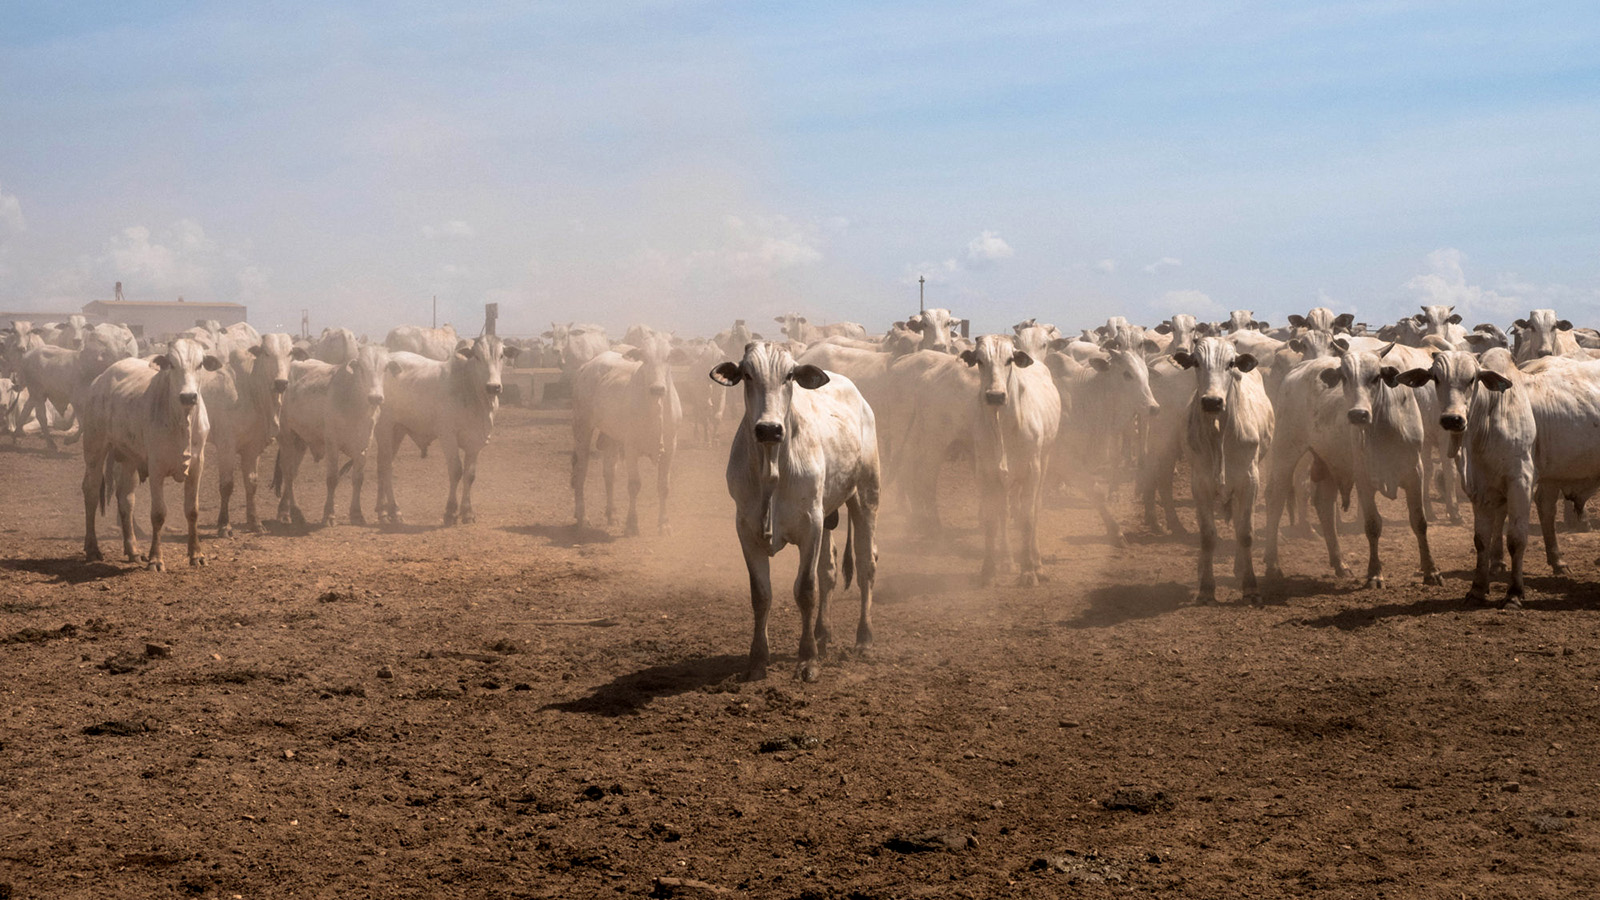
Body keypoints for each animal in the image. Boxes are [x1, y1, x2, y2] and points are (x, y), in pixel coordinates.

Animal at [81, 336, 220, 566]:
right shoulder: (156, 468)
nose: (188, 396)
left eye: (200, 364)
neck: (182, 421)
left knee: (126, 499)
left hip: (128, 458)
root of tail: (100, 379)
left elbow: (192, 510)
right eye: (171, 364)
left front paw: (197, 555)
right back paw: (92, 549)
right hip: (94, 447)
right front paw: (156, 558)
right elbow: (158, 514)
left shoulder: (197, 465)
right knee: (91, 491)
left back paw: (133, 549)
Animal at [374, 333, 518, 522]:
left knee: (383, 464)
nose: (493, 387)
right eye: (477, 356)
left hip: (397, 430)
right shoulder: (448, 436)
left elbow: (470, 475)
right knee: (385, 466)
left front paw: (467, 512)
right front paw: (450, 511)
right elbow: (456, 471)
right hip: (384, 428)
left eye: (501, 356)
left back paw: (383, 509)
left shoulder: (475, 442)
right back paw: (393, 509)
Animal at [572, 321, 678, 531]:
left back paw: (611, 514)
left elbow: (664, 487)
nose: (657, 388)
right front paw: (632, 524)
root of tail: (587, 366)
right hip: (582, 427)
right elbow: (634, 485)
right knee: (581, 469)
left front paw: (664, 524)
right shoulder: (631, 447)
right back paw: (582, 516)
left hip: (611, 437)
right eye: (644, 357)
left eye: (669, 356)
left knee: (609, 473)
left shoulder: (670, 447)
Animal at [716, 339, 889, 675]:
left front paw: (807, 659)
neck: (772, 467)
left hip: (865, 496)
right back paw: (823, 634)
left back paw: (864, 639)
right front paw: (758, 659)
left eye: (789, 376)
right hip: (829, 513)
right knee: (829, 569)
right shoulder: (746, 528)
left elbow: (806, 590)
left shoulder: (811, 524)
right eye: (747, 375)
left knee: (866, 564)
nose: (769, 429)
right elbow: (761, 594)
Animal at [960, 333, 1062, 586]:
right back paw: (1007, 560)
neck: (1004, 426)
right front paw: (989, 570)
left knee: (1035, 508)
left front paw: (1029, 571)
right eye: (979, 360)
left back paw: (1036, 561)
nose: (995, 395)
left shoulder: (1032, 472)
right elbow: (992, 518)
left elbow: (1027, 518)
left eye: (1009, 360)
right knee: (1004, 512)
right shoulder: (986, 474)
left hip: (1044, 460)